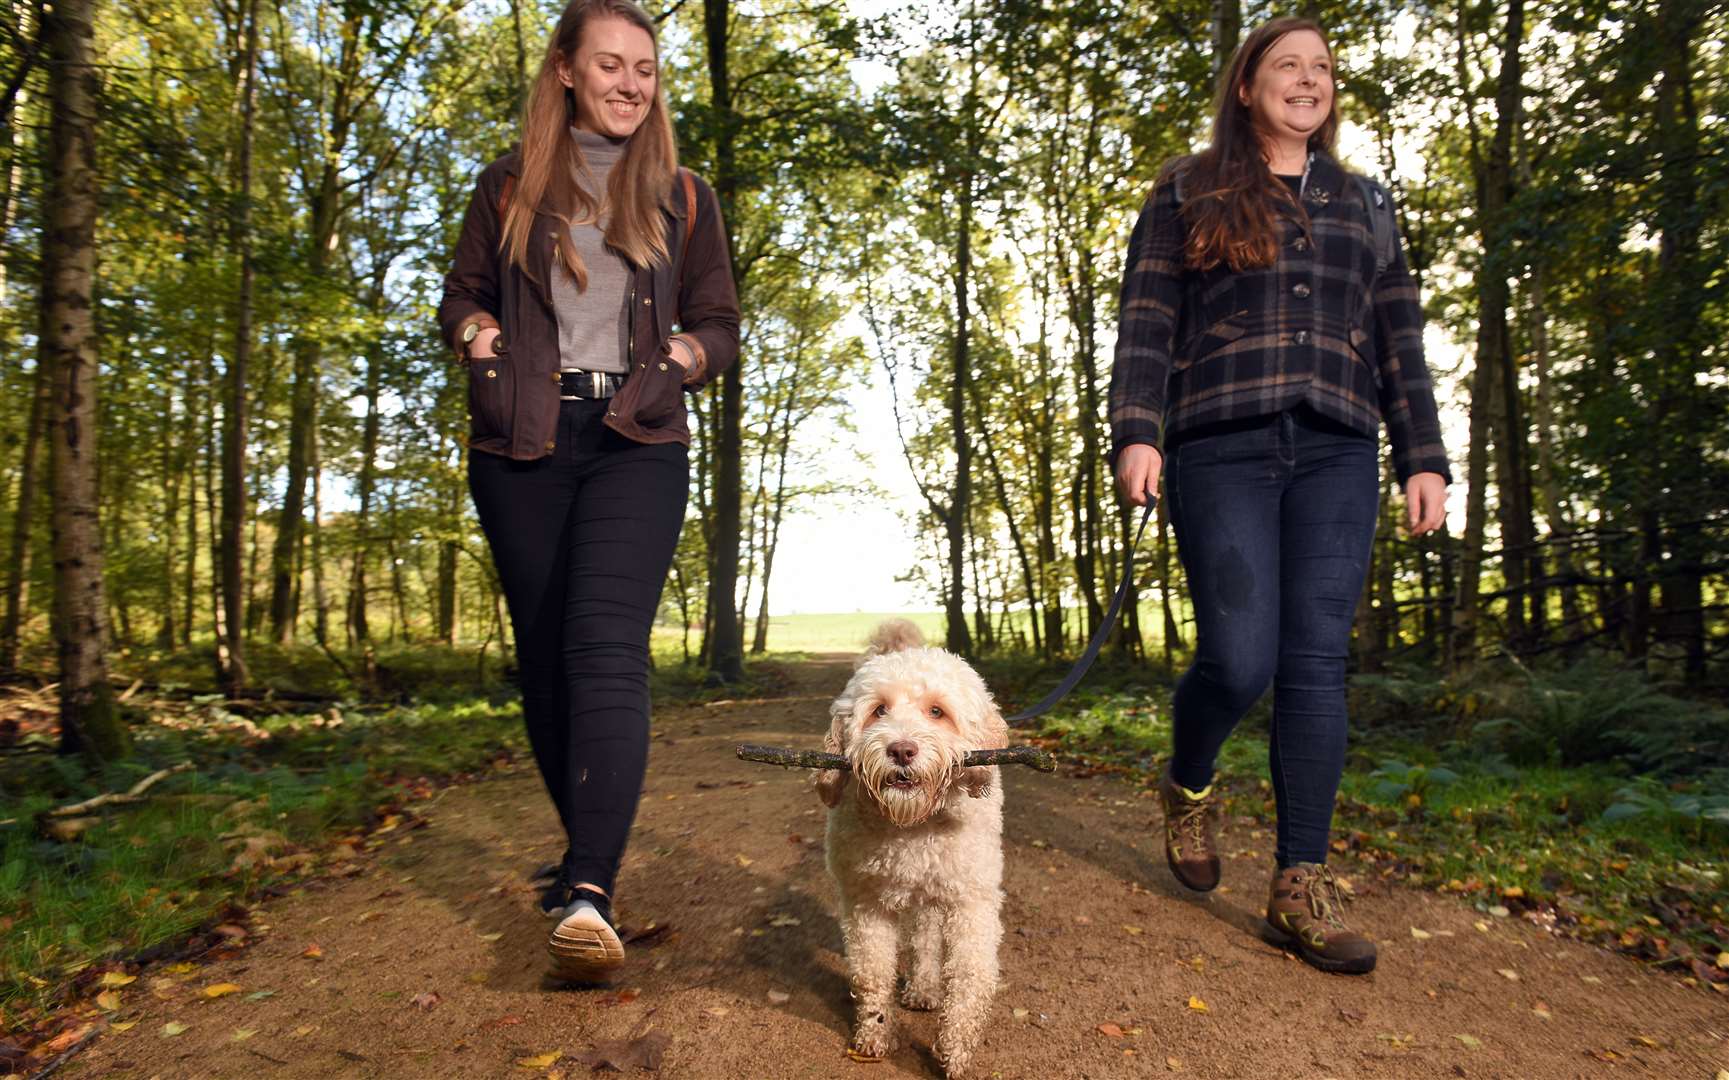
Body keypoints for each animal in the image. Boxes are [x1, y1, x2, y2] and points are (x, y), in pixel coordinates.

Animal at [816, 618, 1009, 1071]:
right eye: (878, 710)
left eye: (937, 711)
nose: (901, 750)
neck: (913, 827)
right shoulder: (865, 903)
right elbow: (872, 973)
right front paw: (874, 1034)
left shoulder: (971, 901)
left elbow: (970, 975)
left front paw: (956, 1050)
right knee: (921, 934)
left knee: (925, 935)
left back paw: (923, 987)